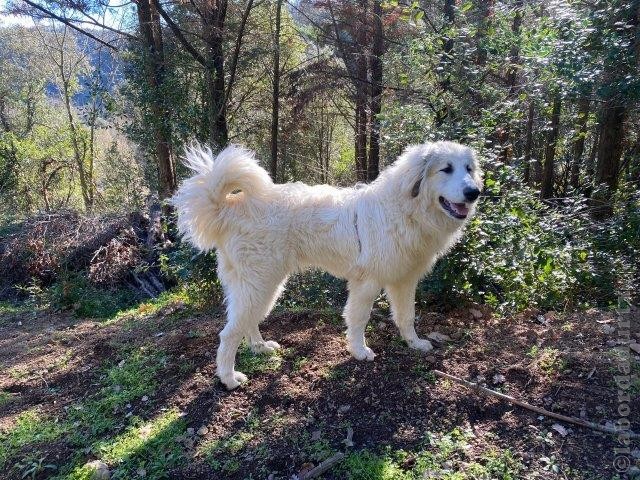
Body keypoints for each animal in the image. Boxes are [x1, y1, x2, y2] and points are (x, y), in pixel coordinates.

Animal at [172, 141, 482, 388]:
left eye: (468, 169)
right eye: (446, 169)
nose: (475, 192)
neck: (405, 209)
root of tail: (228, 207)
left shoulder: (404, 280)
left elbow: (407, 317)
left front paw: (414, 343)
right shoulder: (367, 283)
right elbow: (358, 319)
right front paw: (359, 351)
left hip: (256, 285)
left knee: (245, 322)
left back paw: (260, 347)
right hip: (261, 284)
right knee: (228, 334)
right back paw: (228, 378)